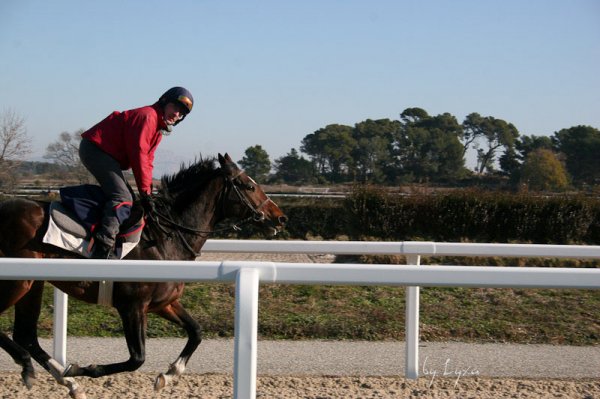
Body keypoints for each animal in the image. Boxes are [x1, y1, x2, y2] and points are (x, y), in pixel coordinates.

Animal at [0, 154, 288, 399]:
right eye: (248, 185)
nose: (280, 217)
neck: (166, 237)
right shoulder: (132, 305)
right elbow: (136, 359)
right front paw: (82, 368)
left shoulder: (162, 303)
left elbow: (196, 331)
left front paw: (169, 375)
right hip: (17, 282)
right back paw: (39, 369)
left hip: (32, 284)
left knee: (26, 335)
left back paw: (65, 382)